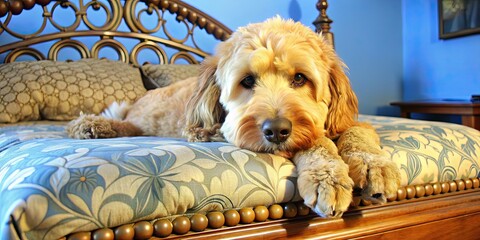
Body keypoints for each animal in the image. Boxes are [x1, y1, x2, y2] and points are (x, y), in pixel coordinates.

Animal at [65, 16, 400, 218]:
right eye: (247, 81)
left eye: (300, 78)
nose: (276, 130)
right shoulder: (225, 129)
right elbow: (316, 142)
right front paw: (327, 176)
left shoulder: (344, 120)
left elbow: (358, 132)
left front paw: (374, 165)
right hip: (147, 116)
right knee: (128, 122)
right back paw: (92, 125)